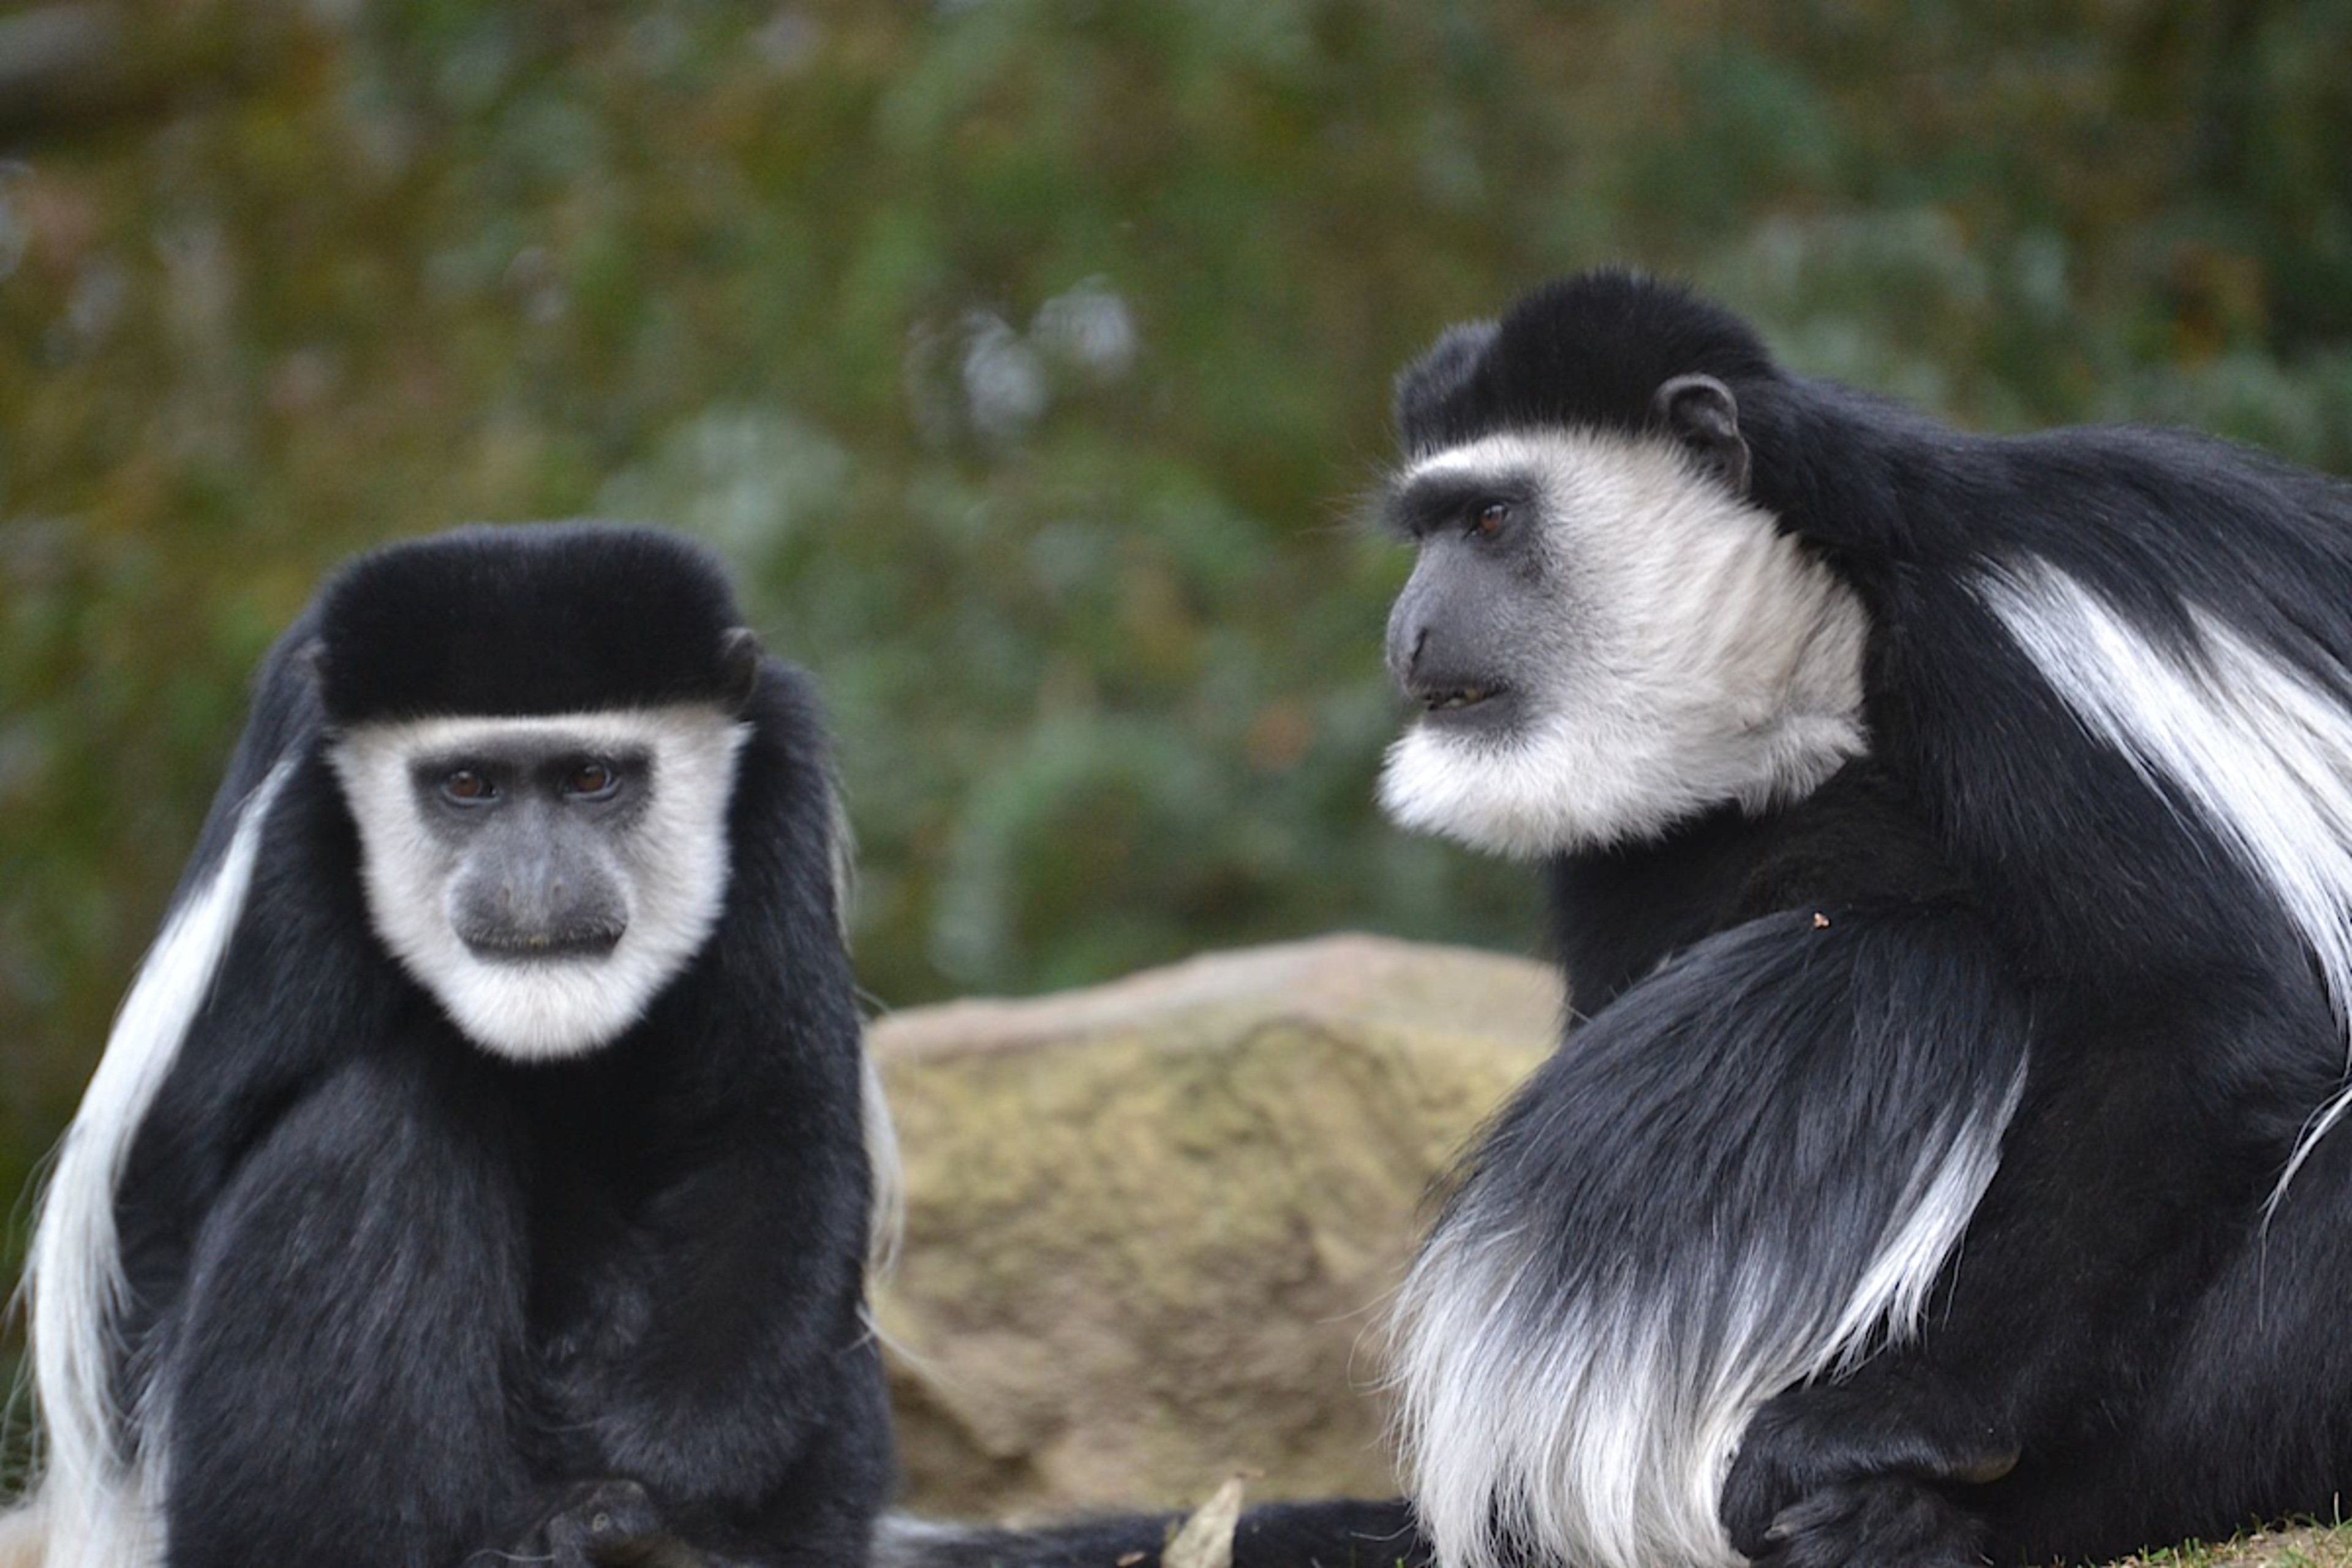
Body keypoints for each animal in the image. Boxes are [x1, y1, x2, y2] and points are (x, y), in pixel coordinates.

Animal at [7, 524, 896, 1568]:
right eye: (468, 784)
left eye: (591, 778)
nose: (533, 883)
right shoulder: (297, 833)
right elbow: (157, 1220)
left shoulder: (777, 791)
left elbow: (766, 1131)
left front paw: (664, 1474)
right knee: (380, 1121)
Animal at [884, 269, 2352, 1568]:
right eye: (1423, 531)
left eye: (1488, 524)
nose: (1408, 630)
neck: (1829, 639)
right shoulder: (1636, 834)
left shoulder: (2012, 643)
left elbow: (2202, 1019)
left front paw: (1872, 1430)